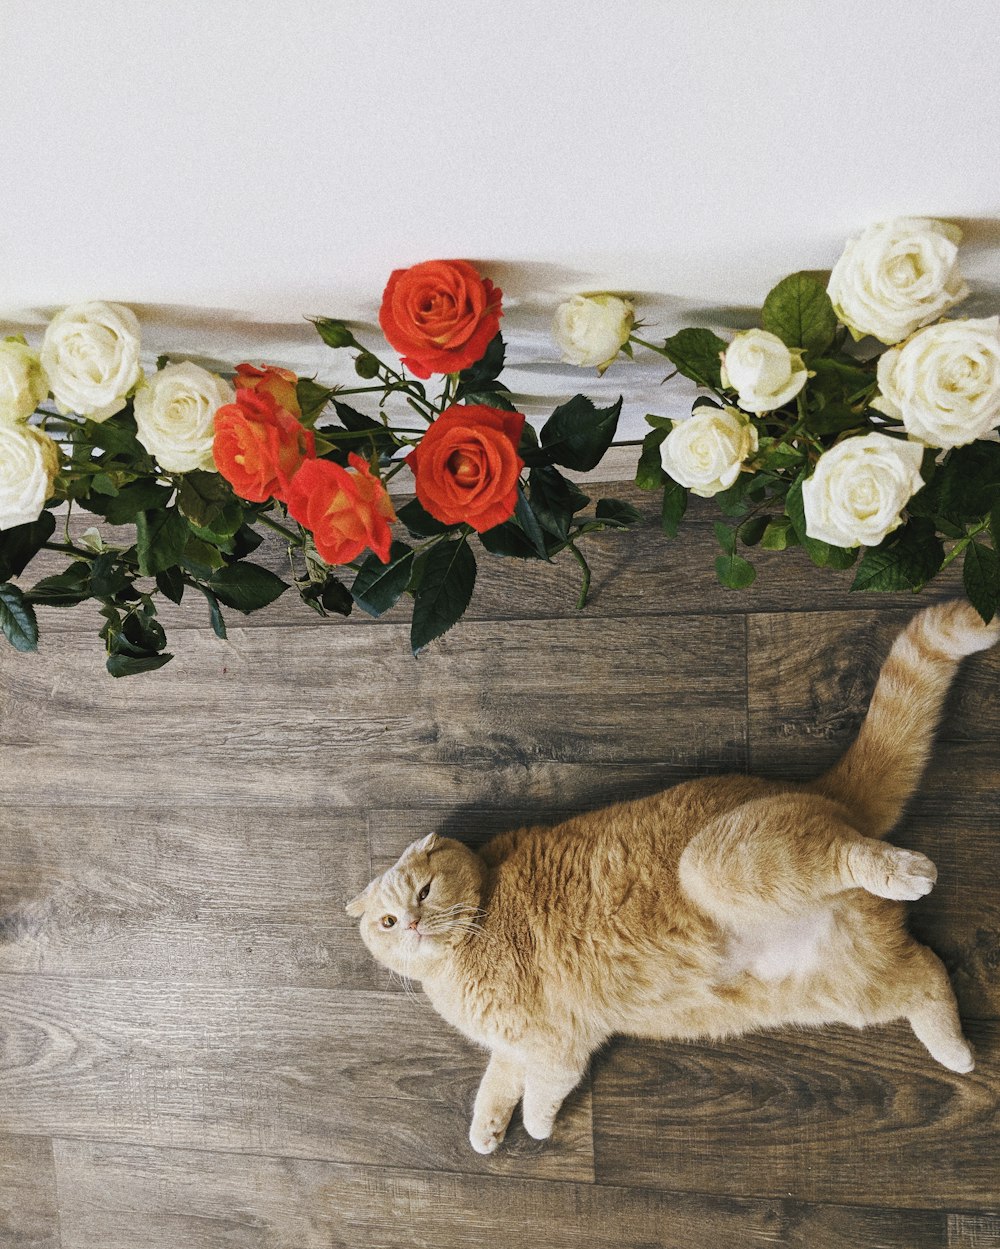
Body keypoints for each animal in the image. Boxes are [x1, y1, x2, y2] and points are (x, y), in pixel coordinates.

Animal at [347, 602, 993, 1149]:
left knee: (850, 855)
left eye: (424, 891)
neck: (460, 955)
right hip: (851, 986)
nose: (411, 924)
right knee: (927, 973)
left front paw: (534, 1127)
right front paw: (486, 1132)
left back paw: (906, 872)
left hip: (718, 862)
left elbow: (540, 1090)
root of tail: (816, 792)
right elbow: (499, 1081)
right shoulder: (524, 1043)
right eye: (386, 921)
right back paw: (958, 1052)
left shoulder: (557, 1047)